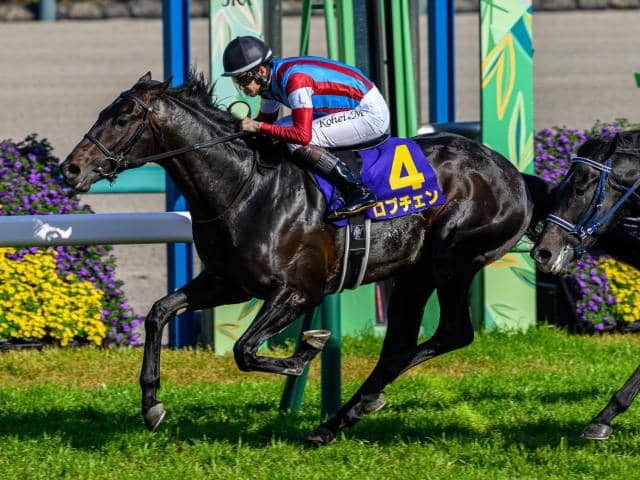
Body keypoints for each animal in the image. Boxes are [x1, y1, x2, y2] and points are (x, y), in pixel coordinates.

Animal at [60, 72, 533, 445]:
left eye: (122, 117)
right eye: (104, 112)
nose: (71, 169)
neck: (244, 188)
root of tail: (511, 173)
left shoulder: (298, 291)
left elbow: (245, 350)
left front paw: (309, 347)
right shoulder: (227, 283)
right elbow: (159, 313)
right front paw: (151, 404)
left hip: (452, 260)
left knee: (452, 332)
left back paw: (351, 409)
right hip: (413, 274)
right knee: (399, 347)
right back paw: (343, 417)